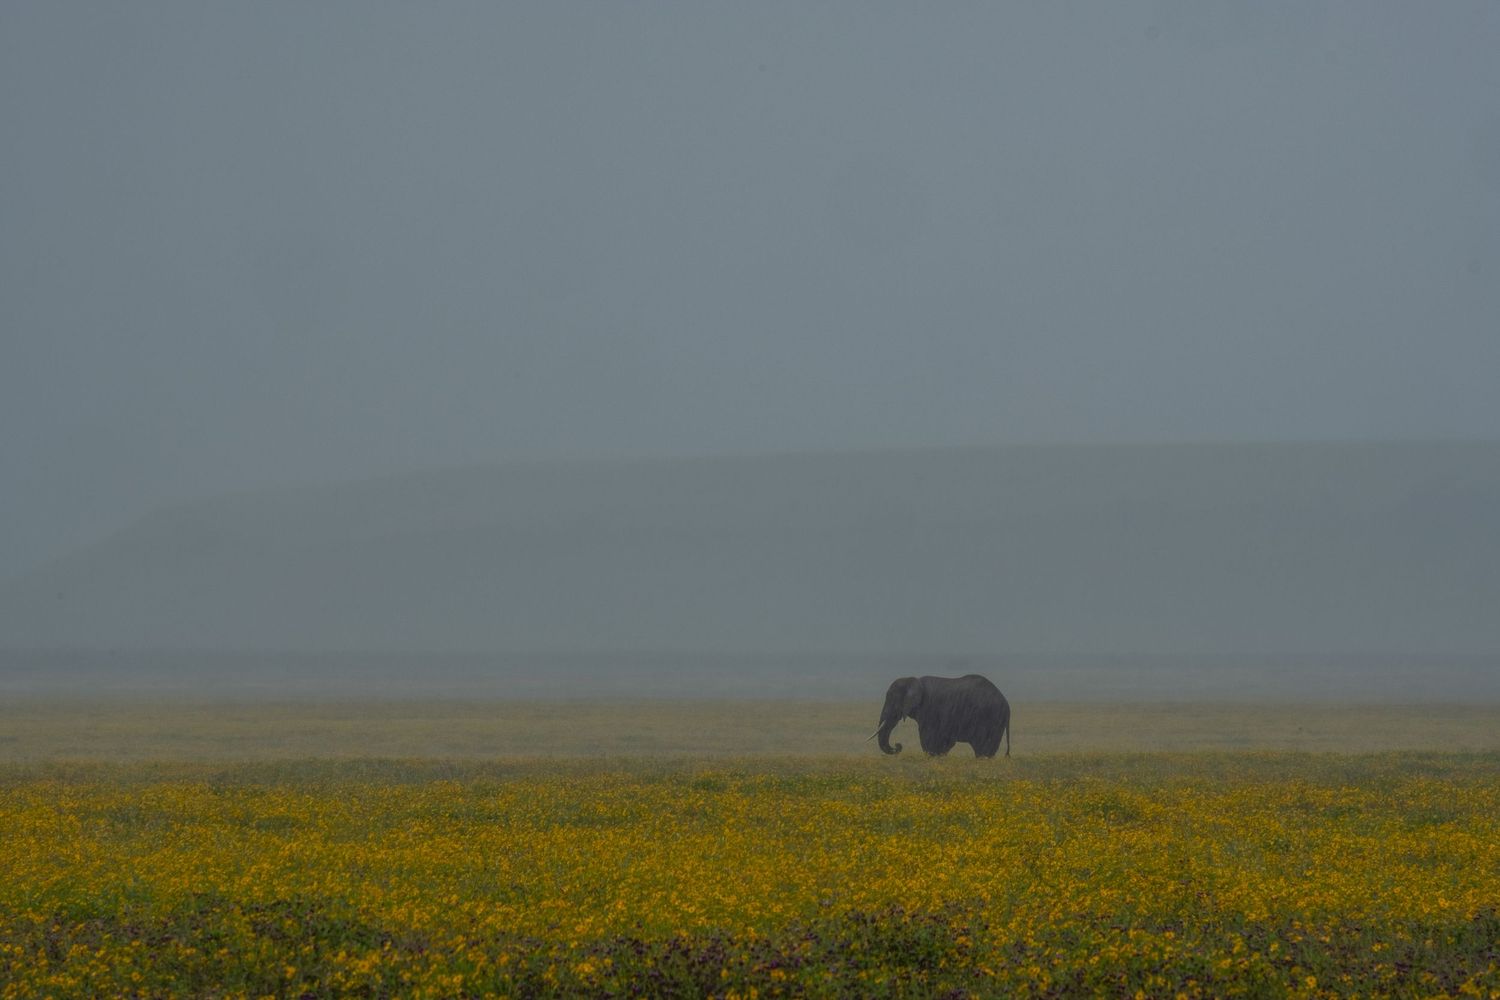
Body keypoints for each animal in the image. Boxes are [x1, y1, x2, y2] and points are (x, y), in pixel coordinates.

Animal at [869, 674, 1010, 758]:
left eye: (892, 701)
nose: (898, 745)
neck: (913, 680)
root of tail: (1007, 704)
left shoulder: (929, 708)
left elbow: (928, 736)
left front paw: (932, 756)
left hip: (990, 718)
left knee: (983, 746)